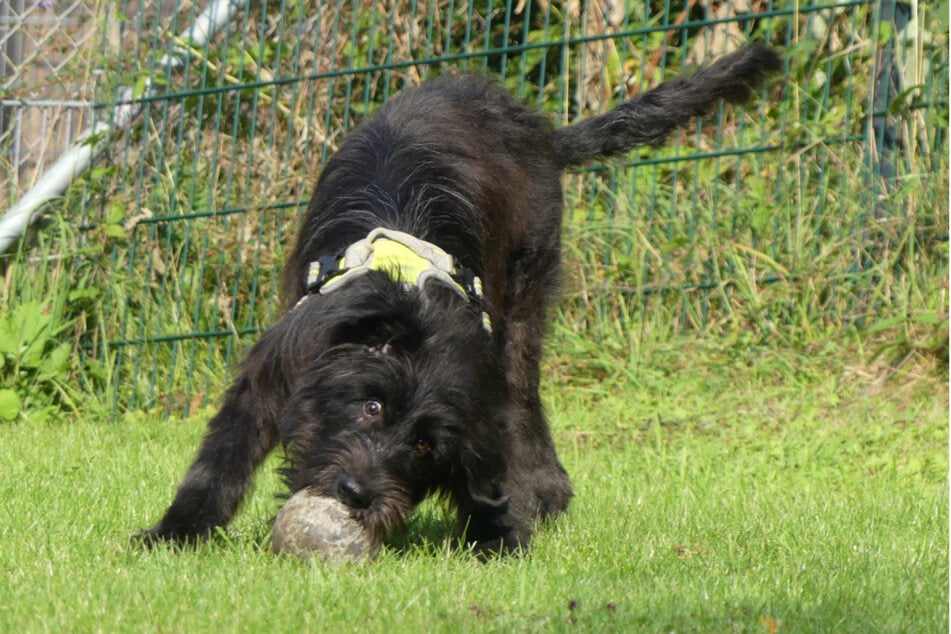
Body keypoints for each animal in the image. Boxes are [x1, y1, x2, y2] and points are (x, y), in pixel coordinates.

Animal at [141, 44, 780, 552]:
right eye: (371, 408)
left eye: (425, 444)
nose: (357, 494)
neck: (418, 316)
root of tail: (536, 129)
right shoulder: (276, 369)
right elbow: (222, 458)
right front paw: (173, 533)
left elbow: (497, 454)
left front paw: (500, 531)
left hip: (525, 298)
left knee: (527, 397)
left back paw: (546, 490)